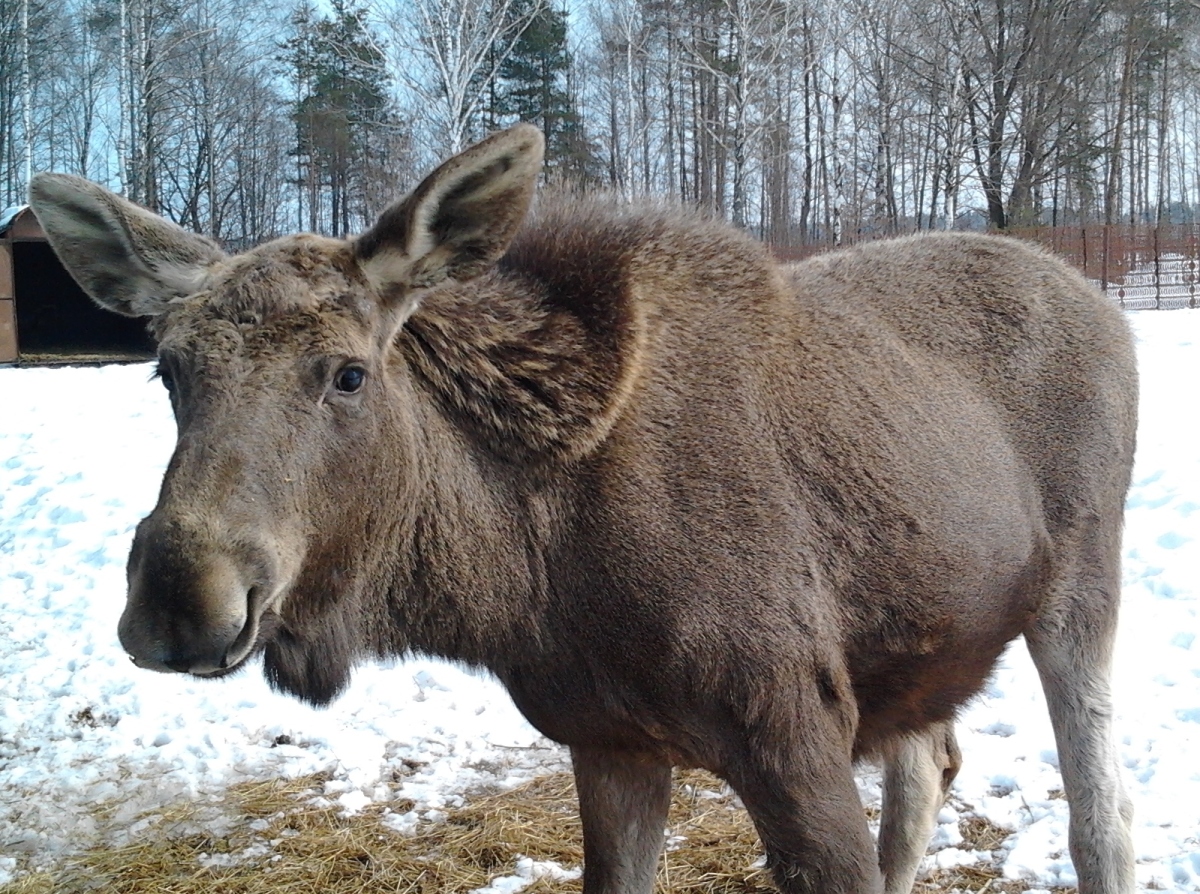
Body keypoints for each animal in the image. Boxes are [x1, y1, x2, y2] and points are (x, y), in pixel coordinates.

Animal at [25, 127, 1132, 892]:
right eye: (169, 370)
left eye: (346, 373)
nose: (181, 595)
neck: (534, 577)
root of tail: (1100, 300)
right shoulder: (607, 742)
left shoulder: (793, 729)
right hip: (924, 642)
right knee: (931, 770)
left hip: (1081, 592)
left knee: (1101, 821)